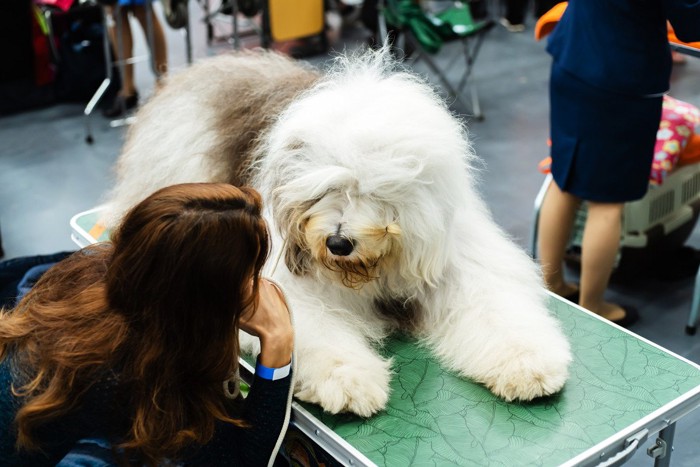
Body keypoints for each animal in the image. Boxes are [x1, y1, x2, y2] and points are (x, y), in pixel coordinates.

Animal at [105, 49, 576, 418]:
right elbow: (315, 327)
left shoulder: (456, 257)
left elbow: (494, 305)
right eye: (324, 191)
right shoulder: (286, 284)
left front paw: (527, 363)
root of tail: (198, 70)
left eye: (374, 192)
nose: (338, 242)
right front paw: (349, 381)